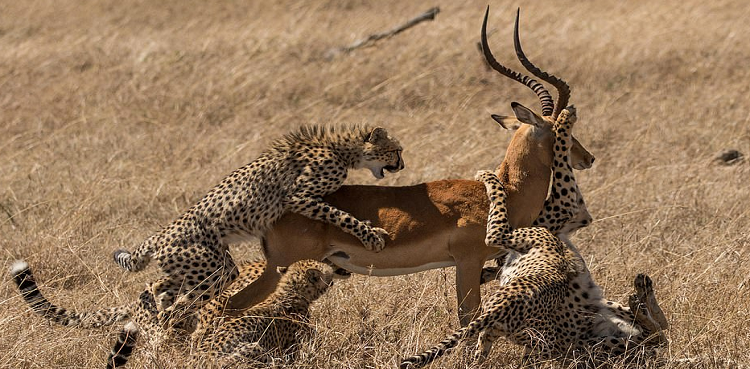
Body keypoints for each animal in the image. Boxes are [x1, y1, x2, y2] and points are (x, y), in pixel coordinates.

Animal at [400, 108, 668, 366]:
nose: (589, 159)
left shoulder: (561, 210)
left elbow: (553, 158)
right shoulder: (570, 211)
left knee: (658, 331)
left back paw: (641, 291)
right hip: (586, 324)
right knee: (656, 331)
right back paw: (641, 292)